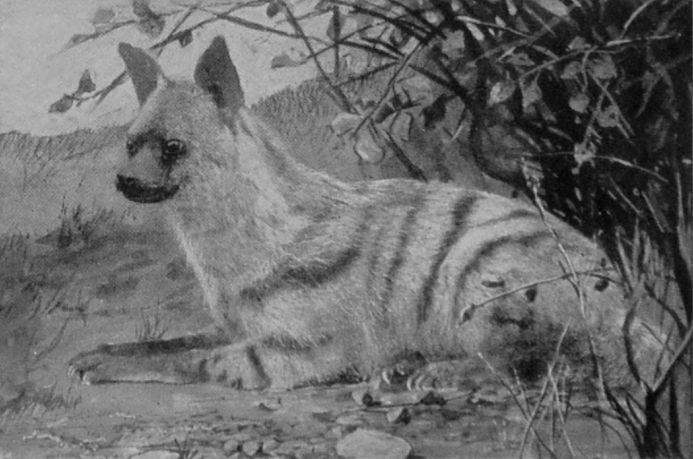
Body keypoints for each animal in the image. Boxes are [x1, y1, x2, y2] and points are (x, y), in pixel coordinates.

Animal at [68, 36, 662, 391]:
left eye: (173, 149)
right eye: (130, 144)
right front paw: (100, 353)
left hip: (480, 275)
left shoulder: (292, 354)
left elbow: (186, 362)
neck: (228, 254)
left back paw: (433, 373)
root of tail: (631, 302)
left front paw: (106, 366)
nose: (123, 180)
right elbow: (166, 342)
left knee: (535, 361)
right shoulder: (231, 327)